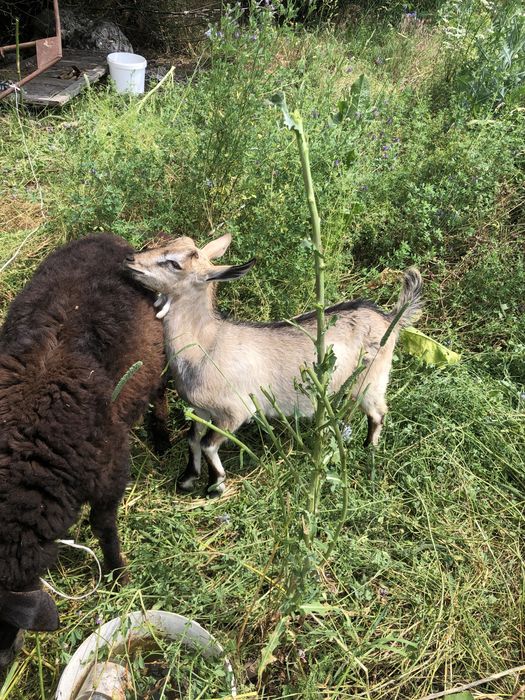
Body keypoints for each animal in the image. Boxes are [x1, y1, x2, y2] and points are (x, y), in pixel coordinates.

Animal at [0, 233, 169, 668]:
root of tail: (106, 237)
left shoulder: (111, 467)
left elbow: (104, 526)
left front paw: (118, 577)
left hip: (158, 355)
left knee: (160, 394)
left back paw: (162, 440)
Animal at [124, 233, 422, 496]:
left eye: (174, 264)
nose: (130, 259)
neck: (207, 345)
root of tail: (390, 319)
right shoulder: (201, 409)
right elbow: (193, 439)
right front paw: (187, 479)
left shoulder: (235, 411)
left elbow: (209, 444)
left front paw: (215, 485)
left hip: (371, 380)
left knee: (378, 413)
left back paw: (369, 450)